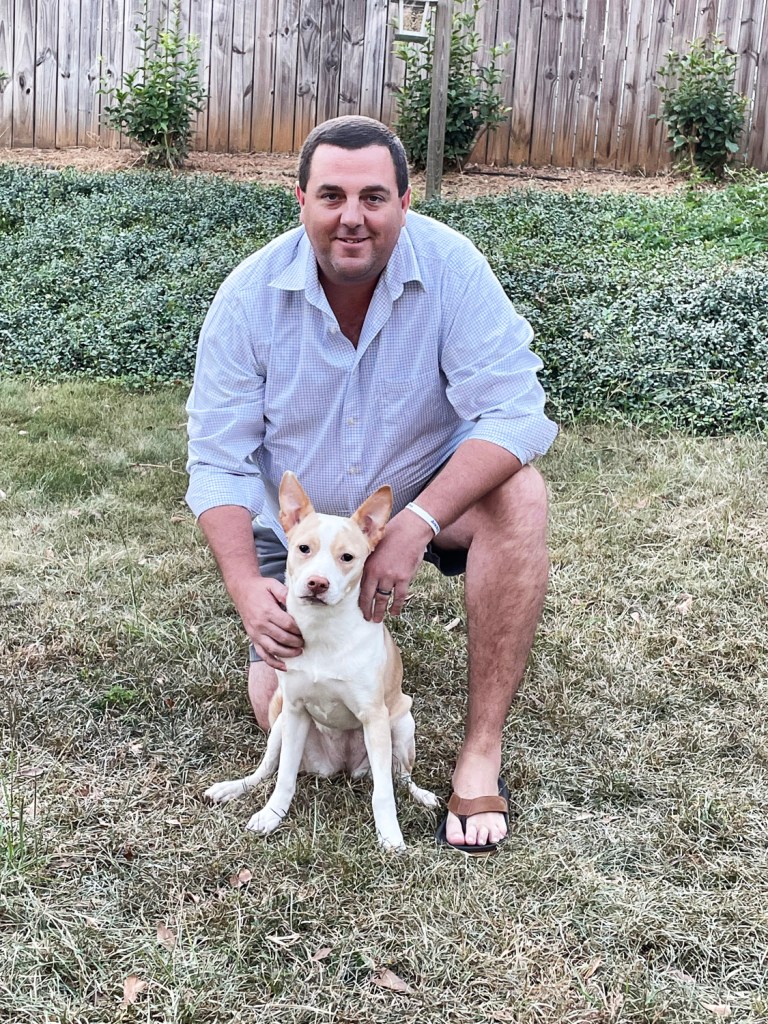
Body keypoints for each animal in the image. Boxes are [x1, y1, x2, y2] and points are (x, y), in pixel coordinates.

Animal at [204, 471, 438, 852]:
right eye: (304, 549)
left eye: (347, 557)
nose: (317, 583)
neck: (323, 630)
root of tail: (340, 768)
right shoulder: (296, 710)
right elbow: (283, 778)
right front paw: (271, 816)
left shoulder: (375, 718)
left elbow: (383, 793)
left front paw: (390, 836)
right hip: (280, 725)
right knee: (265, 770)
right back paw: (233, 787)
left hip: (401, 726)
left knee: (400, 777)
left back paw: (422, 795)